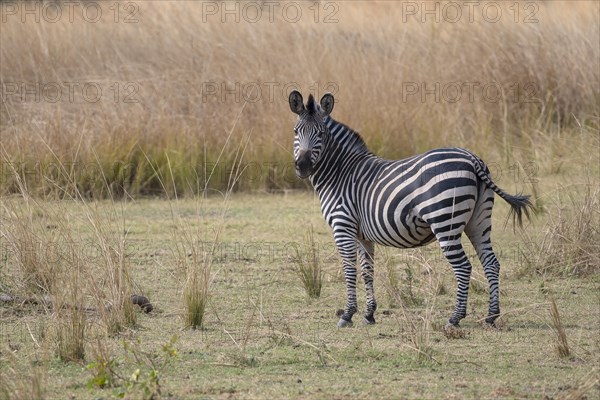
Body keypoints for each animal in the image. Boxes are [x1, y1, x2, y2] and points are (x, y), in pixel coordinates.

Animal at [288, 90, 536, 328]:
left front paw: (348, 315)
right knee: (491, 263)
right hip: (479, 221)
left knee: (464, 267)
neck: (339, 172)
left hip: (445, 222)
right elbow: (367, 271)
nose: (303, 167)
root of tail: (472, 158)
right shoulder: (361, 235)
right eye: (296, 131)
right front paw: (369, 314)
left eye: (321, 134)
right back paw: (491, 316)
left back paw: (455, 318)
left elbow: (350, 271)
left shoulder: (342, 226)